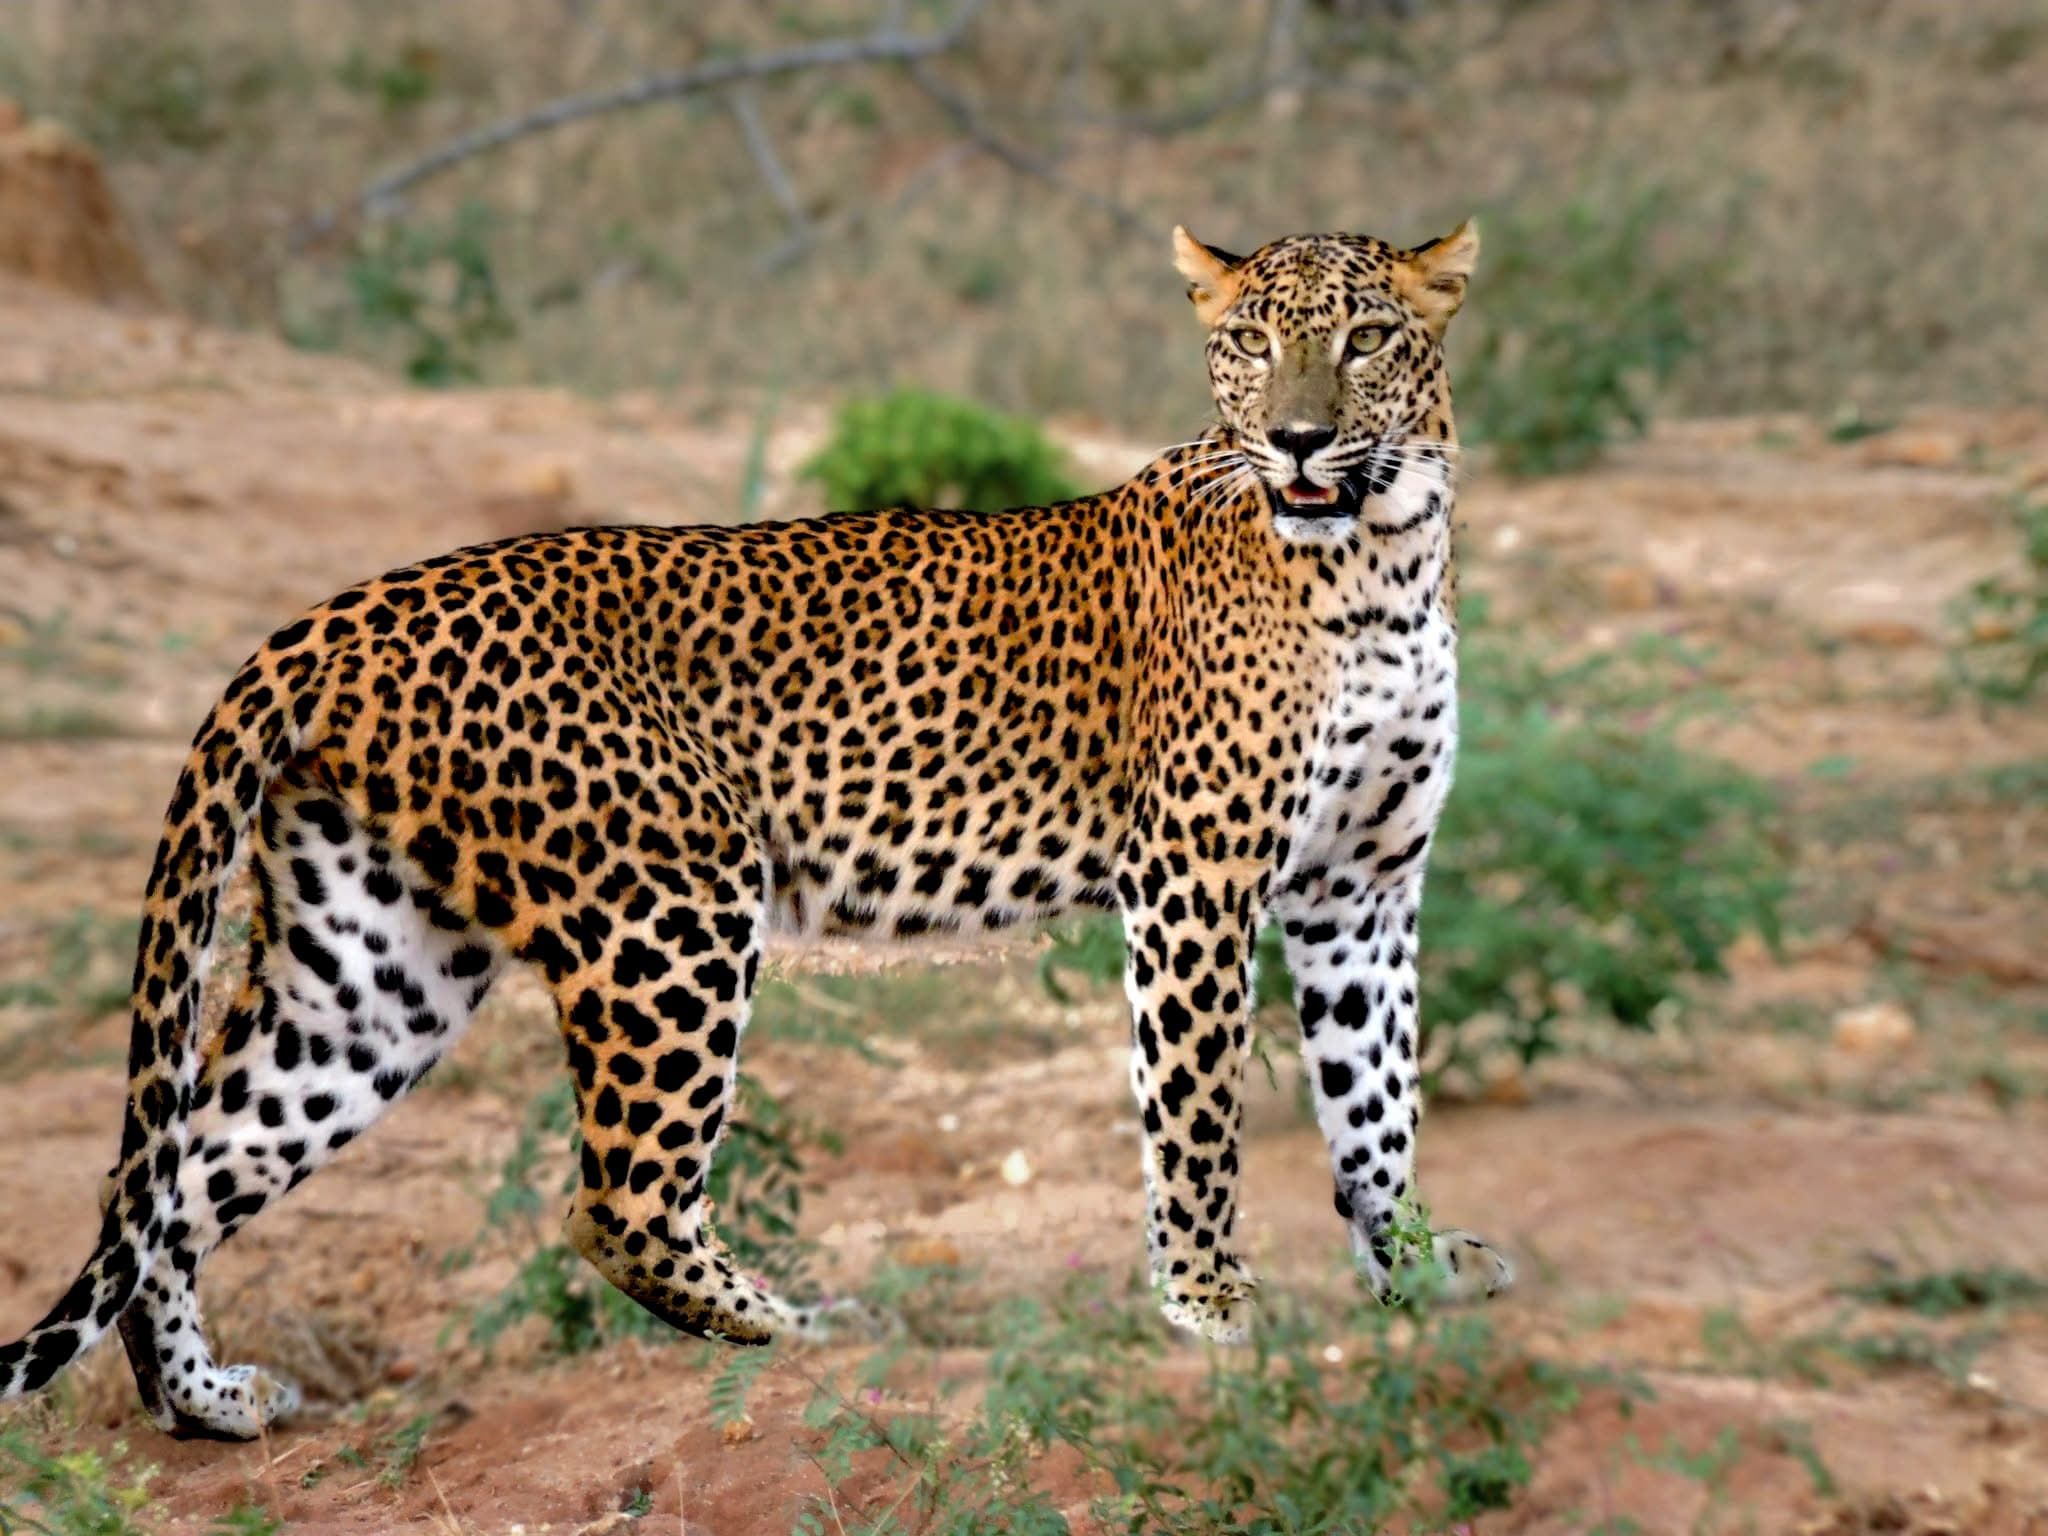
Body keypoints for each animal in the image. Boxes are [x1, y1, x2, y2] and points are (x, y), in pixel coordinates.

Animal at [0, 220, 1510, 1441]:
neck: (1380, 559)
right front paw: (1208, 1304)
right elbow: (1197, 1118)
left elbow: (1378, 1098)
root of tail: (333, 615)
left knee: (174, 1180)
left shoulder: (1362, 889)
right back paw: (802, 1325)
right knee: (613, 1204)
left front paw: (1411, 1267)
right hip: (667, 908)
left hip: (374, 973)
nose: (1300, 439)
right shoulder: (1198, 877)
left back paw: (203, 1404)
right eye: (1251, 344)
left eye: (1365, 340)